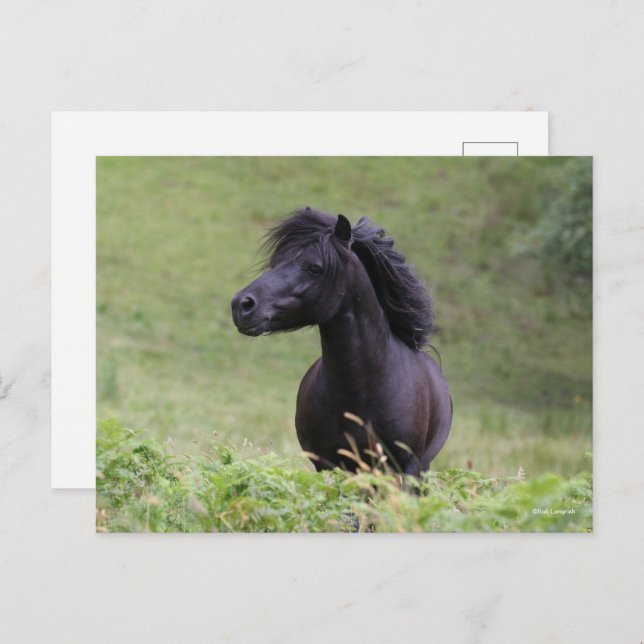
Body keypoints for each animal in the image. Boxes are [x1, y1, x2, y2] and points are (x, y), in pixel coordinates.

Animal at [231, 207, 452, 476]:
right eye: (276, 262)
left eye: (315, 268)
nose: (242, 305)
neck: (361, 390)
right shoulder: (327, 464)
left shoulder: (408, 467)